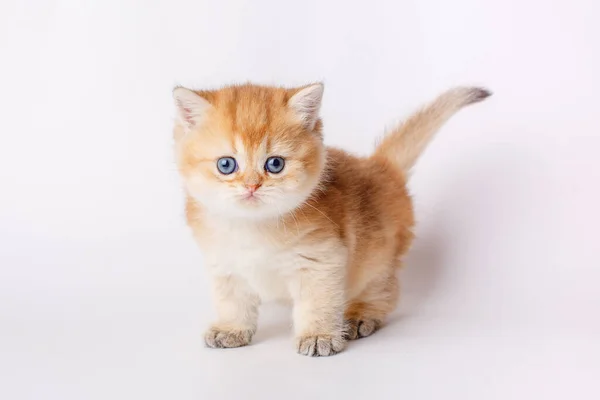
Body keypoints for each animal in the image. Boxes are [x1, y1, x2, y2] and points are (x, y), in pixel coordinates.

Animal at [171, 82, 490, 356]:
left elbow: (317, 302)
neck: (254, 227)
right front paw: (231, 329)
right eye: (226, 164)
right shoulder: (224, 265)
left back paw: (361, 315)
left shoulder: (321, 260)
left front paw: (318, 335)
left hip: (376, 260)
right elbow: (232, 302)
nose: (252, 186)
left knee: (386, 291)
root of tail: (380, 168)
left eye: (275, 164)